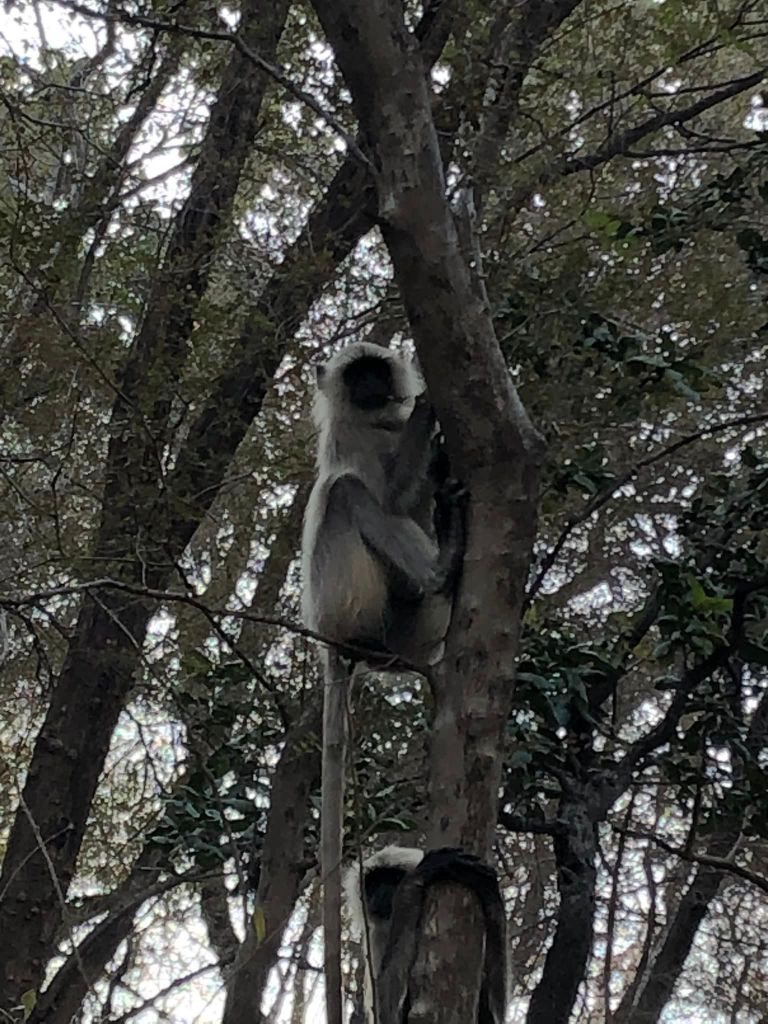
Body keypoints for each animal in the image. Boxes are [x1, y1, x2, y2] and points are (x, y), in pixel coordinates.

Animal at [344, 845, 508, 1024]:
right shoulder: (375, 938)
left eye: (394, 878)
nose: (380, 893)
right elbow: (386, 1013)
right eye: (373, 884)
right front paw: (421, 873)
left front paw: (491, 894)